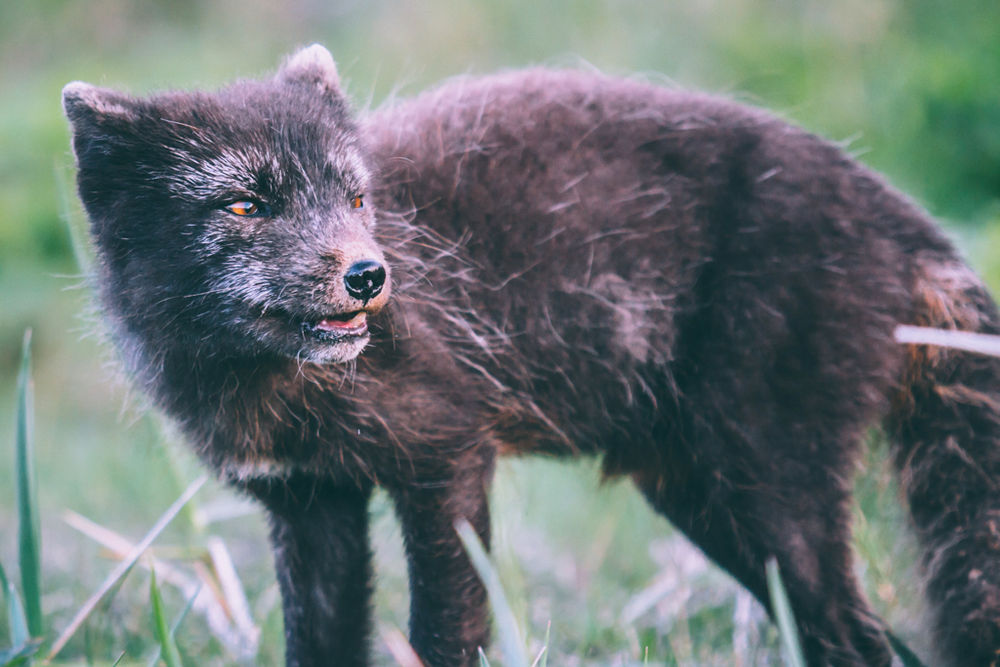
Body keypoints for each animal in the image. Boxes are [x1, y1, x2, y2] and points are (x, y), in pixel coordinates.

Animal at [62, 44, 1000, 666]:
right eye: (246, 205)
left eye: (356, 197)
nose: (369, 275)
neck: (273, 389)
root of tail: (904, 222)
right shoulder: (307, 500)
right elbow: (321, 641)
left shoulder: (445, 452)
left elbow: (444, 630)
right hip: (710, 501)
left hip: (770, 495)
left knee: (868, 640)